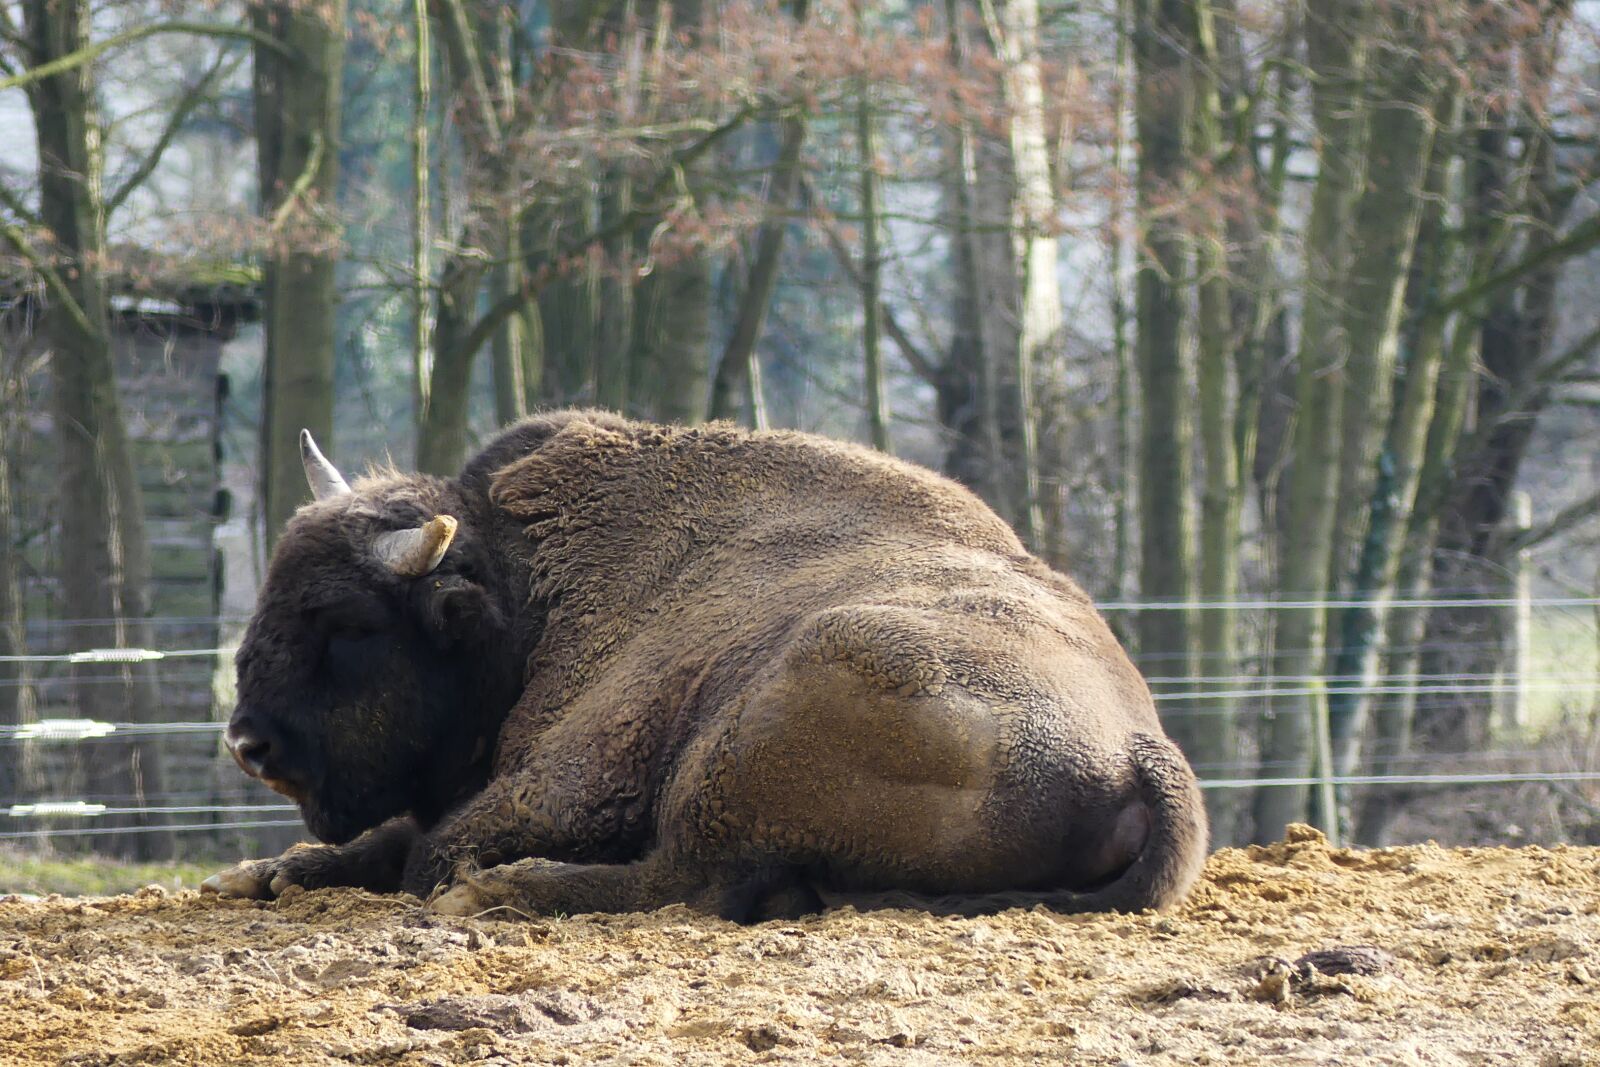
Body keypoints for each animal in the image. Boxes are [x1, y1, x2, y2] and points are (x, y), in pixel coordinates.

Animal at [204, 411, 1207, 919]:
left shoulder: (573, 776)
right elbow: (393, 838)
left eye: (346, 623)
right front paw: (262, 873)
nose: (247, 742)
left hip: (750, 732)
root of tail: (1144, 748)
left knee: (689, 878)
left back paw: (504, 890)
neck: (526, 590)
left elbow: (427, 848)